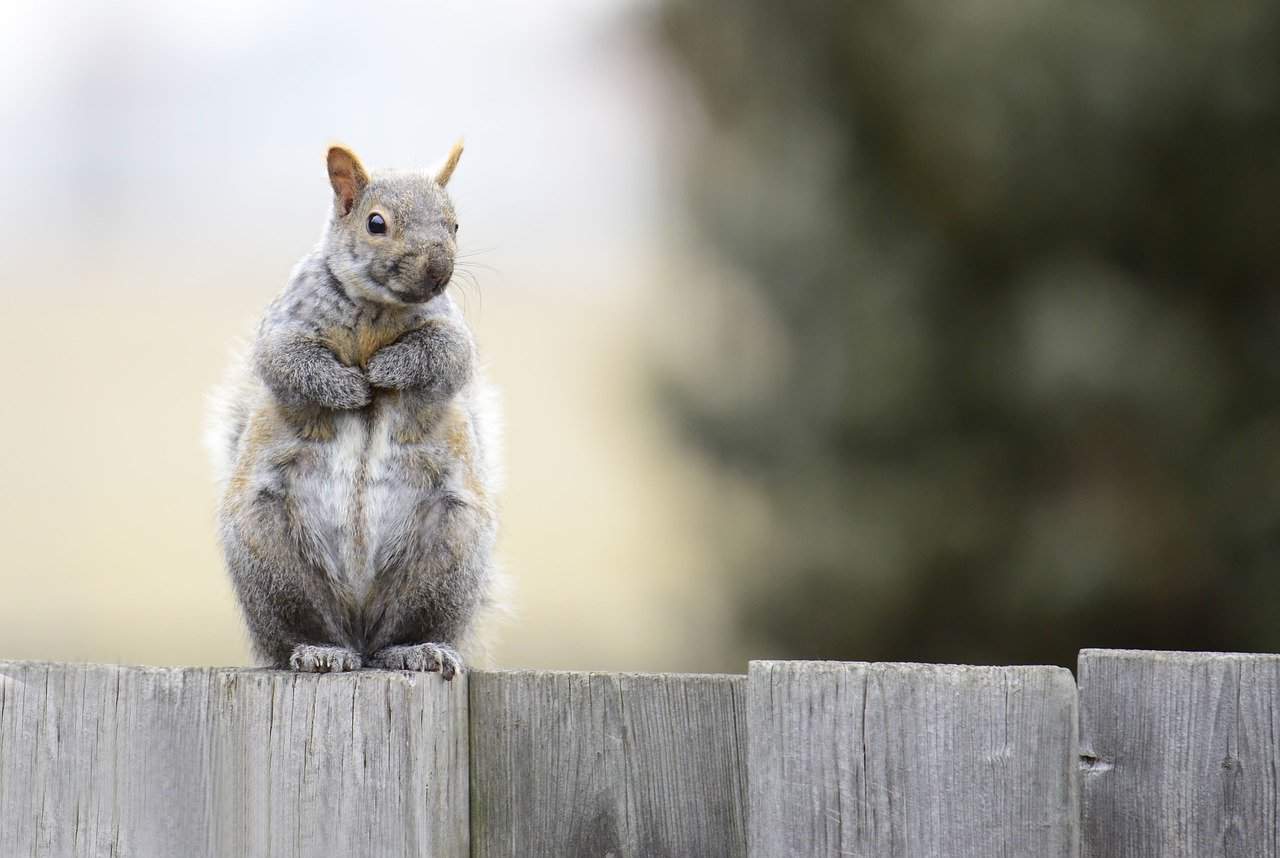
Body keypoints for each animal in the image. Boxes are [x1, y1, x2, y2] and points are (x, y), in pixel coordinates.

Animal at [206, 142, 501, 679]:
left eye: (454, 224)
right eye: (375, 223)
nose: (438, 271)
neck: (377, 311)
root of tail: (358, 626)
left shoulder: (451, 335)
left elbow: (445, 354)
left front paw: (386, 369)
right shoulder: (284, 326)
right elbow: (287, 362)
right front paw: (349, 387)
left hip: (449, 552)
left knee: (399, 632)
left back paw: (416, 650)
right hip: (270, 557)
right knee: (298, 634)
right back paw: (318, 650)